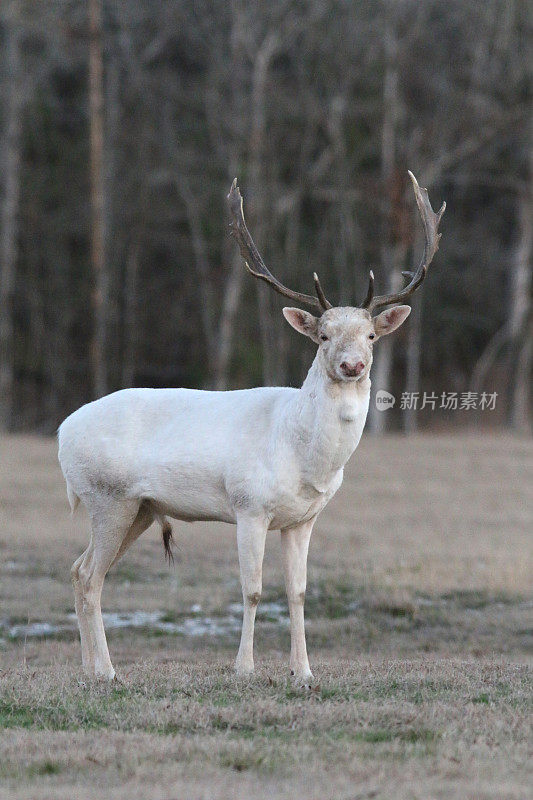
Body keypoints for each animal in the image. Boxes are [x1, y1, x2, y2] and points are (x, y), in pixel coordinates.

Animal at [58, 173, 442, 680]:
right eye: (323, 335)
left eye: (372, 335)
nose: (352, 365)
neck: (304, 459)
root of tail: (62, 433)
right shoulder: (249, 506)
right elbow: (254, 589)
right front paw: (244, 668)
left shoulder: (303, 519)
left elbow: (298, 592)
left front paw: (304, 672)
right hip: (108, 497)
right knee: (89, 574)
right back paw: (105, 671)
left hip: (139, 507)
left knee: (80, 570)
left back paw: (89, 669)